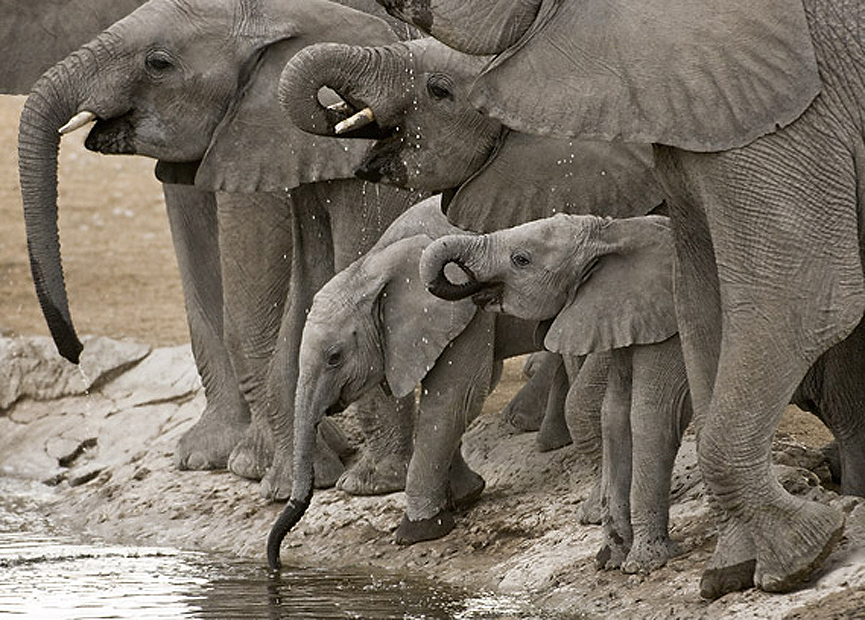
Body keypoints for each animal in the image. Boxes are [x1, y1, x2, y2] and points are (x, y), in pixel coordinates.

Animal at [267, 195, 549, 569]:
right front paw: (465, 496)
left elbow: (453, 399)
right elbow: (459, 399)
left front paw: (417, 532)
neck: (374, 265)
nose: (276, 565)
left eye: (334, 357)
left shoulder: (463, 309)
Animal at [419, 212, 693, 574]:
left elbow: (651, 415)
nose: (463, 278)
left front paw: (643, 563)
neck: (614, 232)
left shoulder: (669, 322)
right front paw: (609, 559)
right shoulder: (621, 314)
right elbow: (614, 415)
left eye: (521, 260)